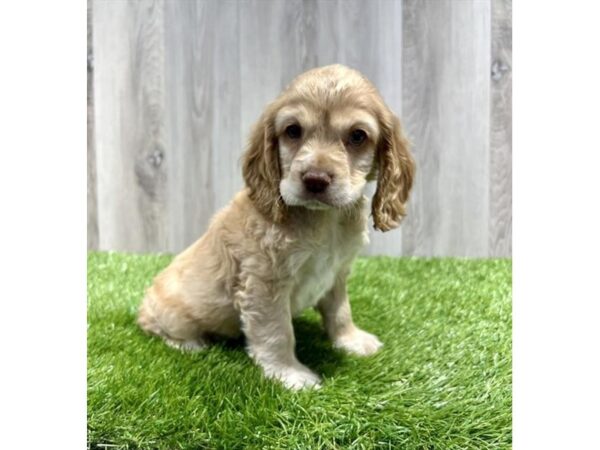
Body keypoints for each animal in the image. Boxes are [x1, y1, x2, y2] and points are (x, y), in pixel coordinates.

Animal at [138, 64, 414, 390]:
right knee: (161, 329)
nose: (315, 179)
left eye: (358, 135)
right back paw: (190, 344)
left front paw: (351, 340)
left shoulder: (337, 273)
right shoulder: (264, 282)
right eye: (293, 130)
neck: (323, 220)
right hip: (170, 314)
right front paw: (290, 375)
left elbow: (340, 311)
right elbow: (277, 332)